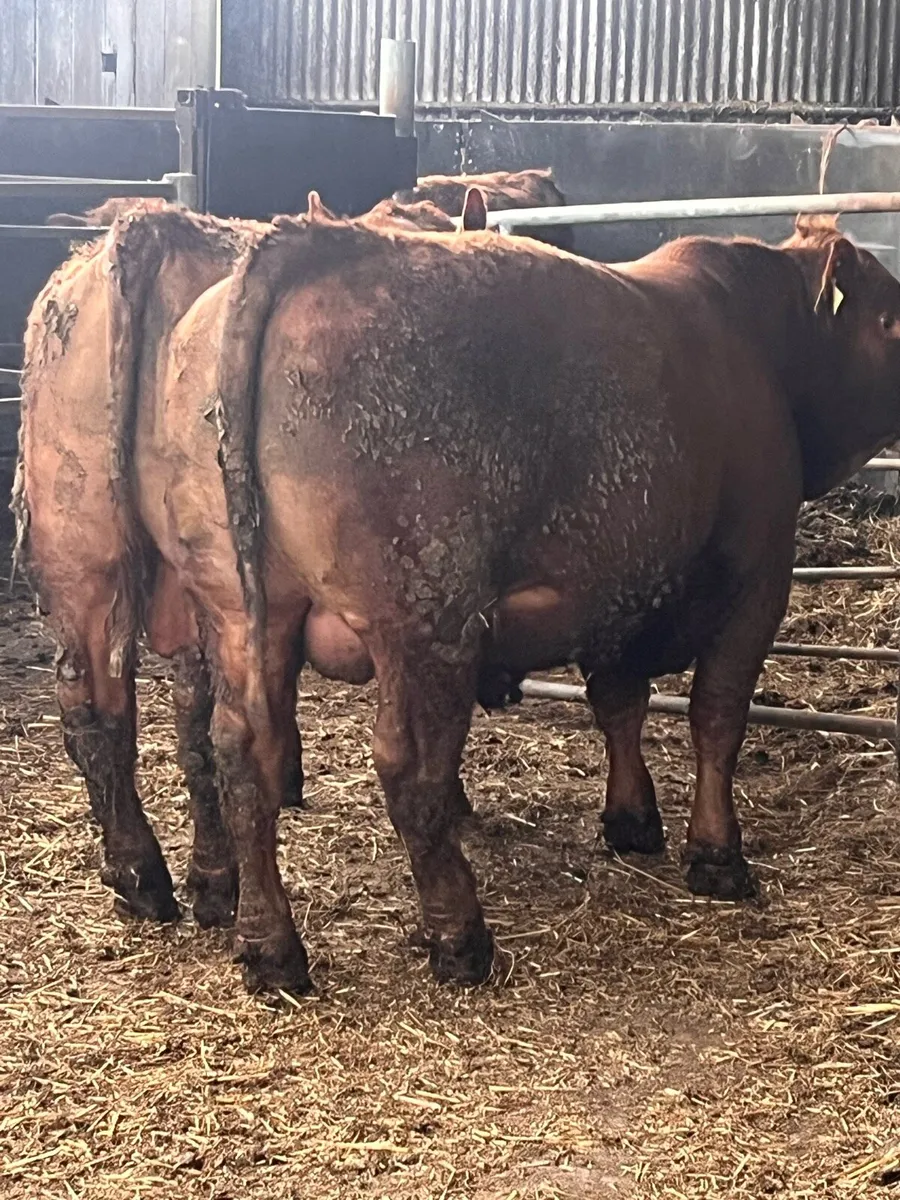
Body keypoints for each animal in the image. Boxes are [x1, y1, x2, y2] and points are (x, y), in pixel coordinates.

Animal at [145, 202, 900, 996]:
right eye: (889, 319)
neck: (756, 342)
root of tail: (310, 242)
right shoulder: (757, 578)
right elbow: (717, 719)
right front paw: (717, 855)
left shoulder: (617, 585)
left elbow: (619, 703)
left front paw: (632, 820)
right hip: (426, 622)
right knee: (410, 770)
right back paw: (460, 936)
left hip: (239, 616)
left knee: (243, 756)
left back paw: (271, 947)